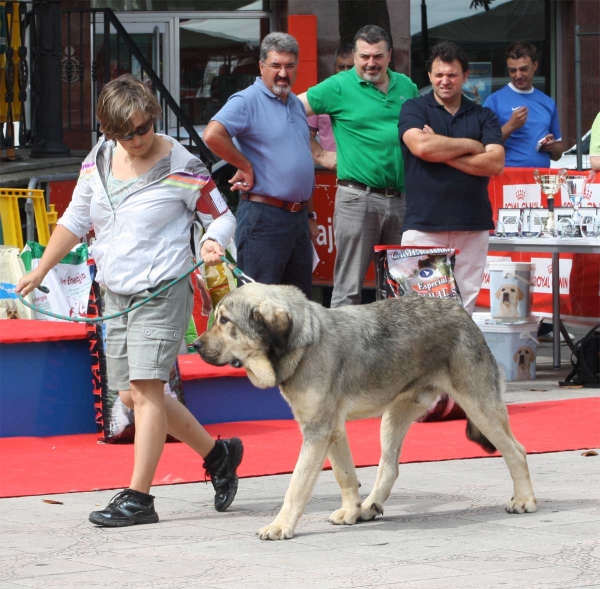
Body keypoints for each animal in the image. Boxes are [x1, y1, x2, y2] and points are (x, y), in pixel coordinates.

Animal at [195, 282, 536, 540]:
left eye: (225, 321)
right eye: (216, 318)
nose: (196, 346)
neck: (305, 344)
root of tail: (462, 311)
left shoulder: (317, 433)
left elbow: (297, 485)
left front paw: (280, 526)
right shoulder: (332, 431)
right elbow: (345, 475)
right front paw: (351, 511)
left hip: (479, 408)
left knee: (517, 451)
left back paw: (524, 500)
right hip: (392, 417)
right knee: (390, 466)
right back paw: (369, 506)